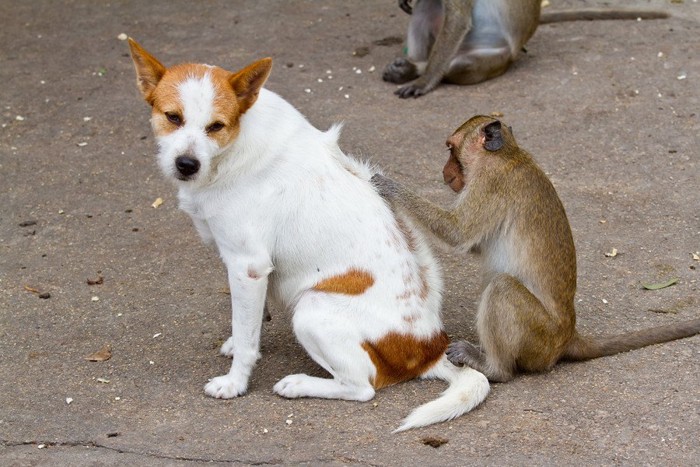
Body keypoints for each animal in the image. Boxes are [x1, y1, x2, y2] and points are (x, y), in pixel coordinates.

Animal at [129, 39, 490, 432]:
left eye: (216, 126)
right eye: (173, 117)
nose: (186, 165)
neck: (235, 148)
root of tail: (429, 349)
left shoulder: (247, 265)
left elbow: (247, 338)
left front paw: (235, 383)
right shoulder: (252, 270)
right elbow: (249, 324)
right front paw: (240, 340)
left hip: (311, 310)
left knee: (362, 386)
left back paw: (299, 384)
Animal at [374, 114, 700, 384]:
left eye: (451, 149)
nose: (445, 172)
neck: (507, 154)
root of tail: (568, 334)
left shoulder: (490, 184)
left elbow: (458, 233)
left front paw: (390, 187)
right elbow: (476, 244)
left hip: (539, 338)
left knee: (502, 288)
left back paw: (495, 368)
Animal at [386, 0, 668, 98]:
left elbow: (457, 18)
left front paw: (424, 82)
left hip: (496, 59)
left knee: (460, 66)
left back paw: (423, 71)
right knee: (427, 5)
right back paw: (411, 67)